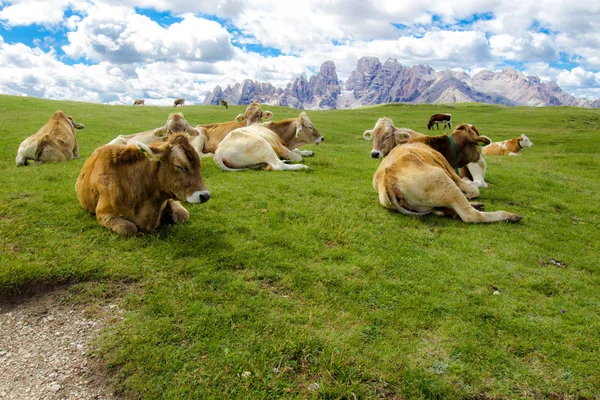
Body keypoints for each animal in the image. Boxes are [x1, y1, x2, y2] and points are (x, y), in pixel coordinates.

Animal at [76, 134, 210, 234]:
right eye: (180, 166)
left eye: (199, 165)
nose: (205, 195)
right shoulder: (103, 213)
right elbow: (129, 228)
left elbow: (183, 215)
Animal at [372, 125, 524, 223]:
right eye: (476, 145)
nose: (479, 158)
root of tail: (388, 179)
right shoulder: (453, 174)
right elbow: (474, 190)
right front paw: (469, 195)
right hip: (444, 182)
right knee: (470, 215)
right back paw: (509, 216)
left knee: (445, 210)